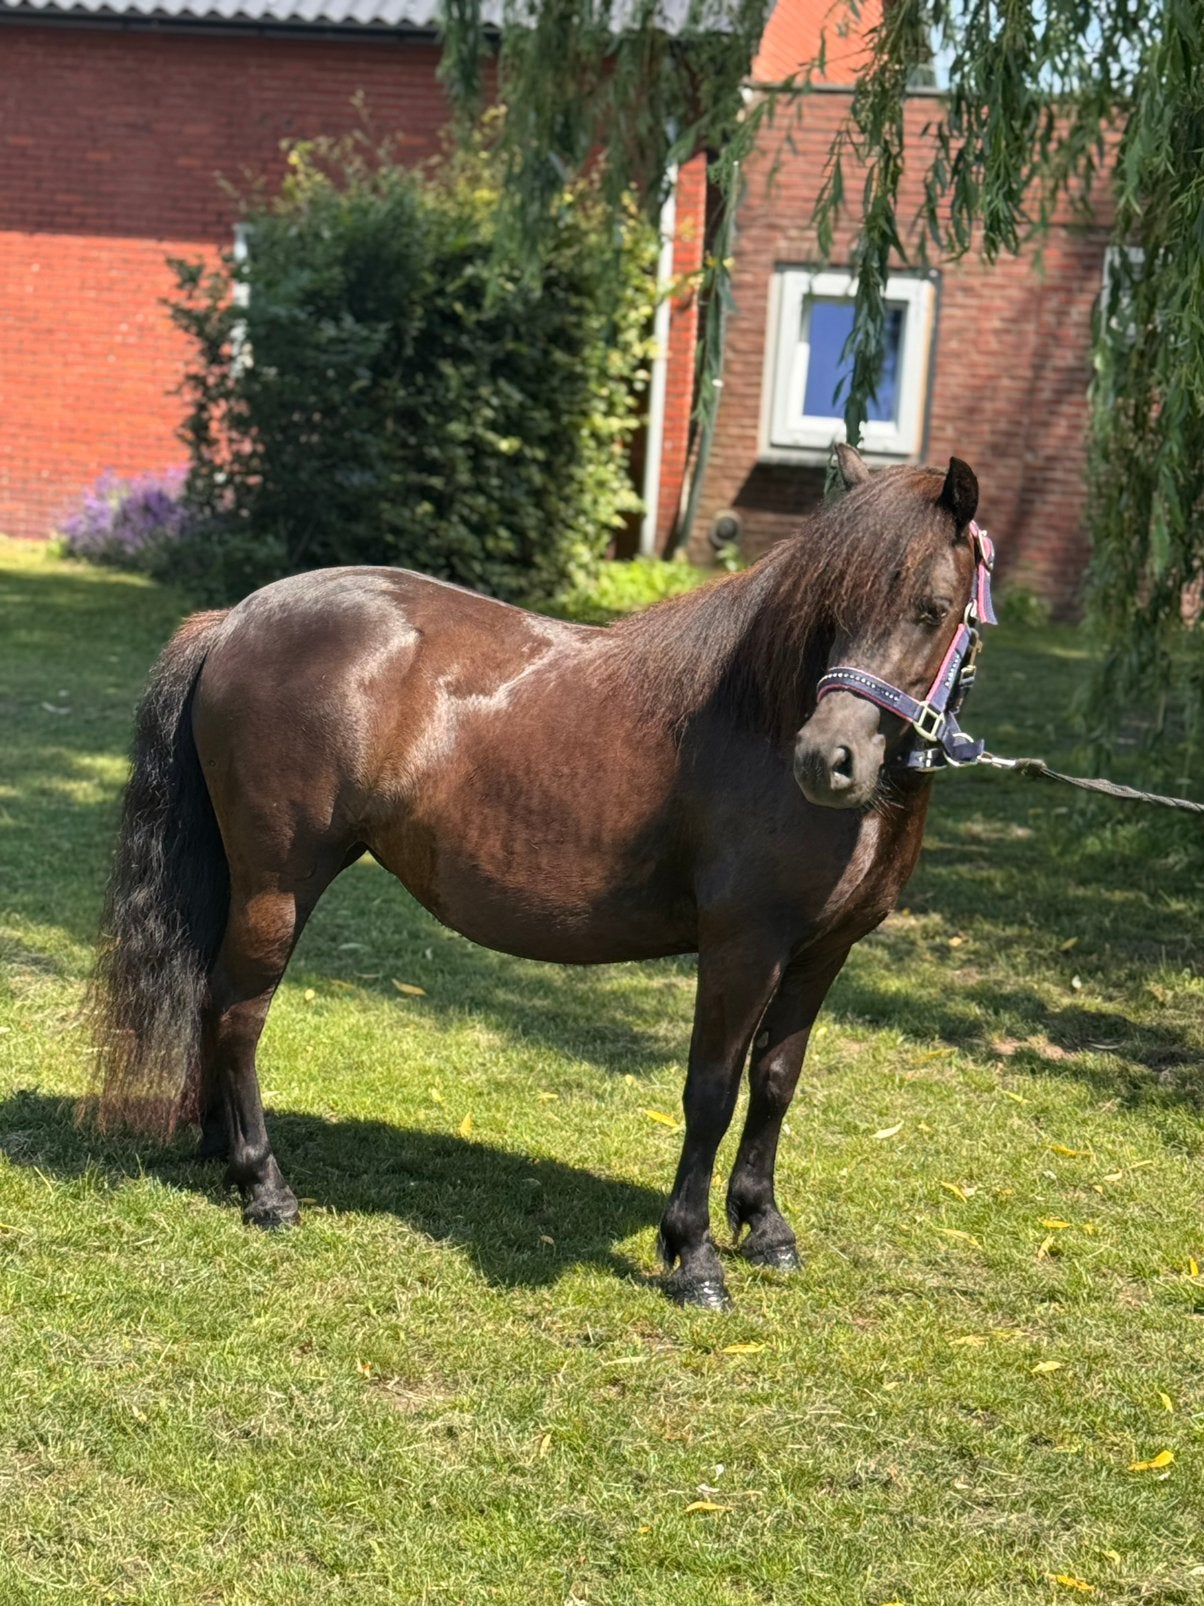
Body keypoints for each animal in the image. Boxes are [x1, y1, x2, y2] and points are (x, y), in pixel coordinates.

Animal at [87, 444, 987, 1309]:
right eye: (831, 611)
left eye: (934, 607)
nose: (827, 760)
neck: (756, 718)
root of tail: (235, 619)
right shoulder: (743, 947)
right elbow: (712, 1091)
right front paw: (694, 1256)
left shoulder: (820, 953)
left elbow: (774, 1083)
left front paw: (764, 1227)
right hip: (279, 883)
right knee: (239, 1014)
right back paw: (264, 1186)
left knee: (213, 1001)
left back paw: (222, 1152)